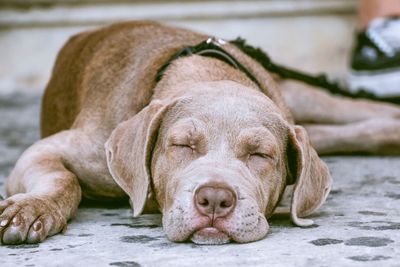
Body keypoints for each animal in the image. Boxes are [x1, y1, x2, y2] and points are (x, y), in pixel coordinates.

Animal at [0, 22, 400, 246]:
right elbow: (64, 179)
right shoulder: (59, 149)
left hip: (300, 96)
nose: (215, 199)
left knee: (358, 111)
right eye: (182, 145)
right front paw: (31, 210)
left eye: (260, 154)